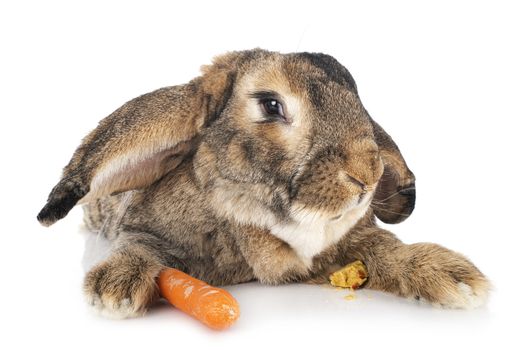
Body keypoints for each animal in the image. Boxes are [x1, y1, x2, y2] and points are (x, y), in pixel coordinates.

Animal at [37, 47, 492, 318]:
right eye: (271, 105)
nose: (367, 175)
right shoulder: (141, 228)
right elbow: (138, 245)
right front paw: (114, 289)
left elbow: (385, 246)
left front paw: (454, 278)